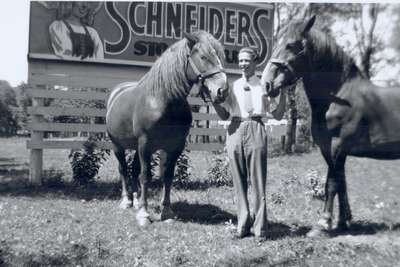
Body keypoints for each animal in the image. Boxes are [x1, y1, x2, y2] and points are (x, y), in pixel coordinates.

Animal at [106, 31, 228, 228]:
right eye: (203, 57)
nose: (222, 90)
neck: (163, 101)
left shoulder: (175, 146)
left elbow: (168, 176)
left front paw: (166, 211)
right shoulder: (145, 144)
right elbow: (146, 176)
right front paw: (144, 214)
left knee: (133, 170)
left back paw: (136, 200)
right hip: (118, 145)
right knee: (123, 169)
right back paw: (126, 201)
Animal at [262, 15, 400, 237]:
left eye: (291, 45)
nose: (267, 84)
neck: (339, 95)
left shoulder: (338, 146)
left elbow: (332, 184)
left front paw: (323, 223)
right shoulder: (328, 147)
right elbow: (340, 182)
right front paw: (344, 221)